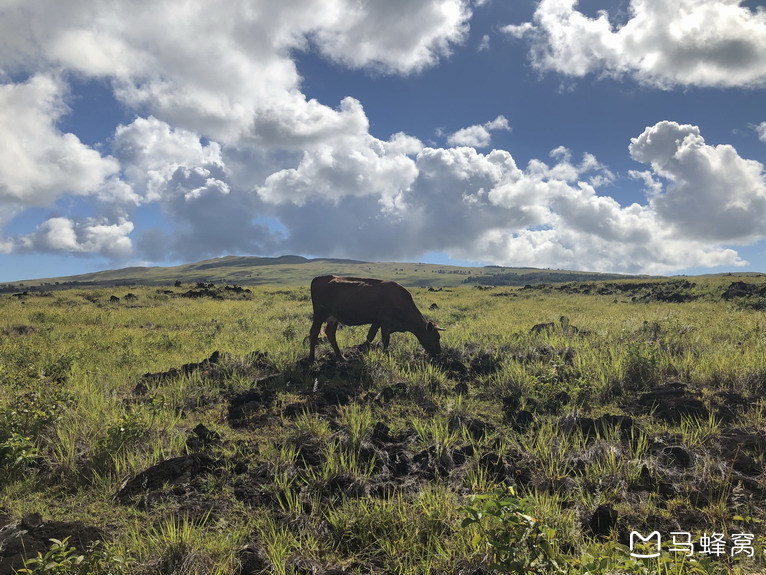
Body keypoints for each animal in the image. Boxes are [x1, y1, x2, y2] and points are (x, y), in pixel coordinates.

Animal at [308, 276, 444, 362]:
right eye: (435, 337)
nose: (439, 353)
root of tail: (318, 278)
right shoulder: (385, 324)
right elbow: (385, 342)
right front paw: (385, 356)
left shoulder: (377, 321)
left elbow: (370, 336)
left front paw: (363, 350)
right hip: (319, 314)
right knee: (314, 332)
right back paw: (311, 359)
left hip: (333, 317)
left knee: (330, 333)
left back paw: (341, 357)